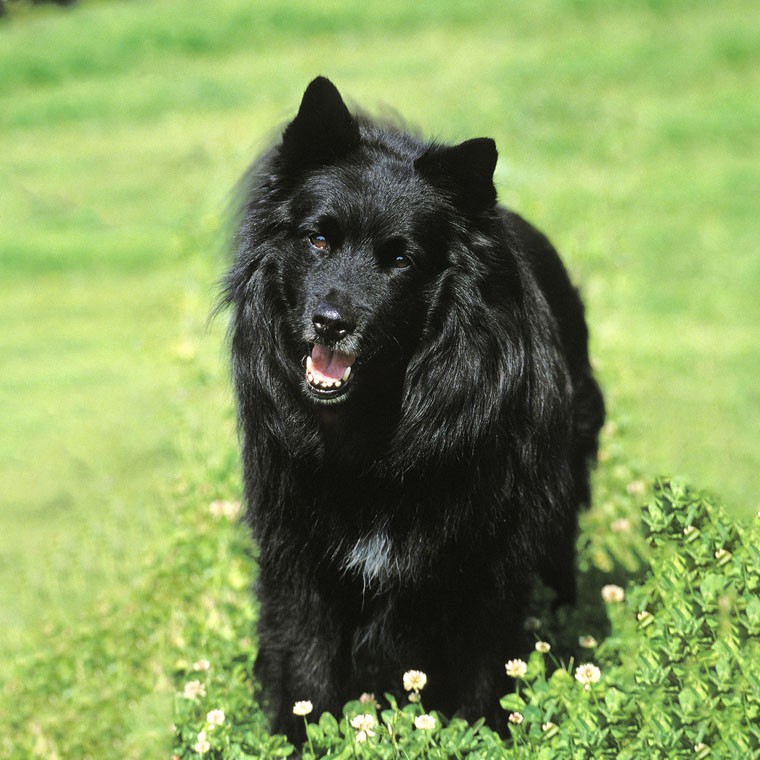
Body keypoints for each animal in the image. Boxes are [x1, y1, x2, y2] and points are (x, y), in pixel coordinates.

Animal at [223, 77, 604, 744]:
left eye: (400, 259)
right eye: (318, 239)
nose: (330, 322)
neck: (376, 430)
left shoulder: (485, 568)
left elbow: (482, 682)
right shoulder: (300, 562)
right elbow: (305, 677)